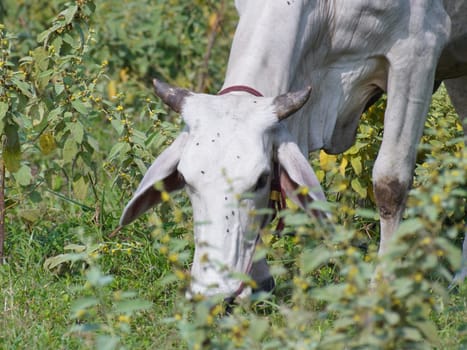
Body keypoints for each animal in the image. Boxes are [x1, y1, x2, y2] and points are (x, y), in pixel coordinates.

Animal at [121, 0, 467, 298]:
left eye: (259, 179)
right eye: (185, 180)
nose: (214, 291)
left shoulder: (418, 51)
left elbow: (390, 184)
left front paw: (382, 287)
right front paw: (259, 279)